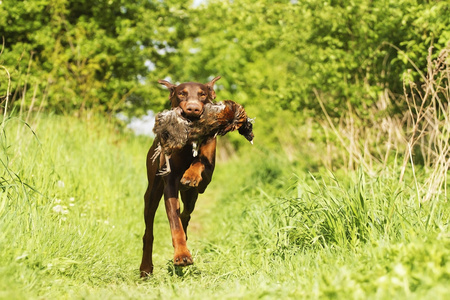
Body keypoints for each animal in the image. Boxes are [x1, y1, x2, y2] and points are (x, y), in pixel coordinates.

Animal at [138, 75, 221, 276]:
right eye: (182, 93)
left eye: (202, 94)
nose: (193, 108)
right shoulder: (170, 183)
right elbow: (174, 223)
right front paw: (182, 255)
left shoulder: (206, 179)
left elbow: (199, 161)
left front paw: (191, 174)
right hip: (152, 193)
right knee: (149, 232)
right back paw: (146, 267)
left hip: (192, 196)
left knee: (187, 213)